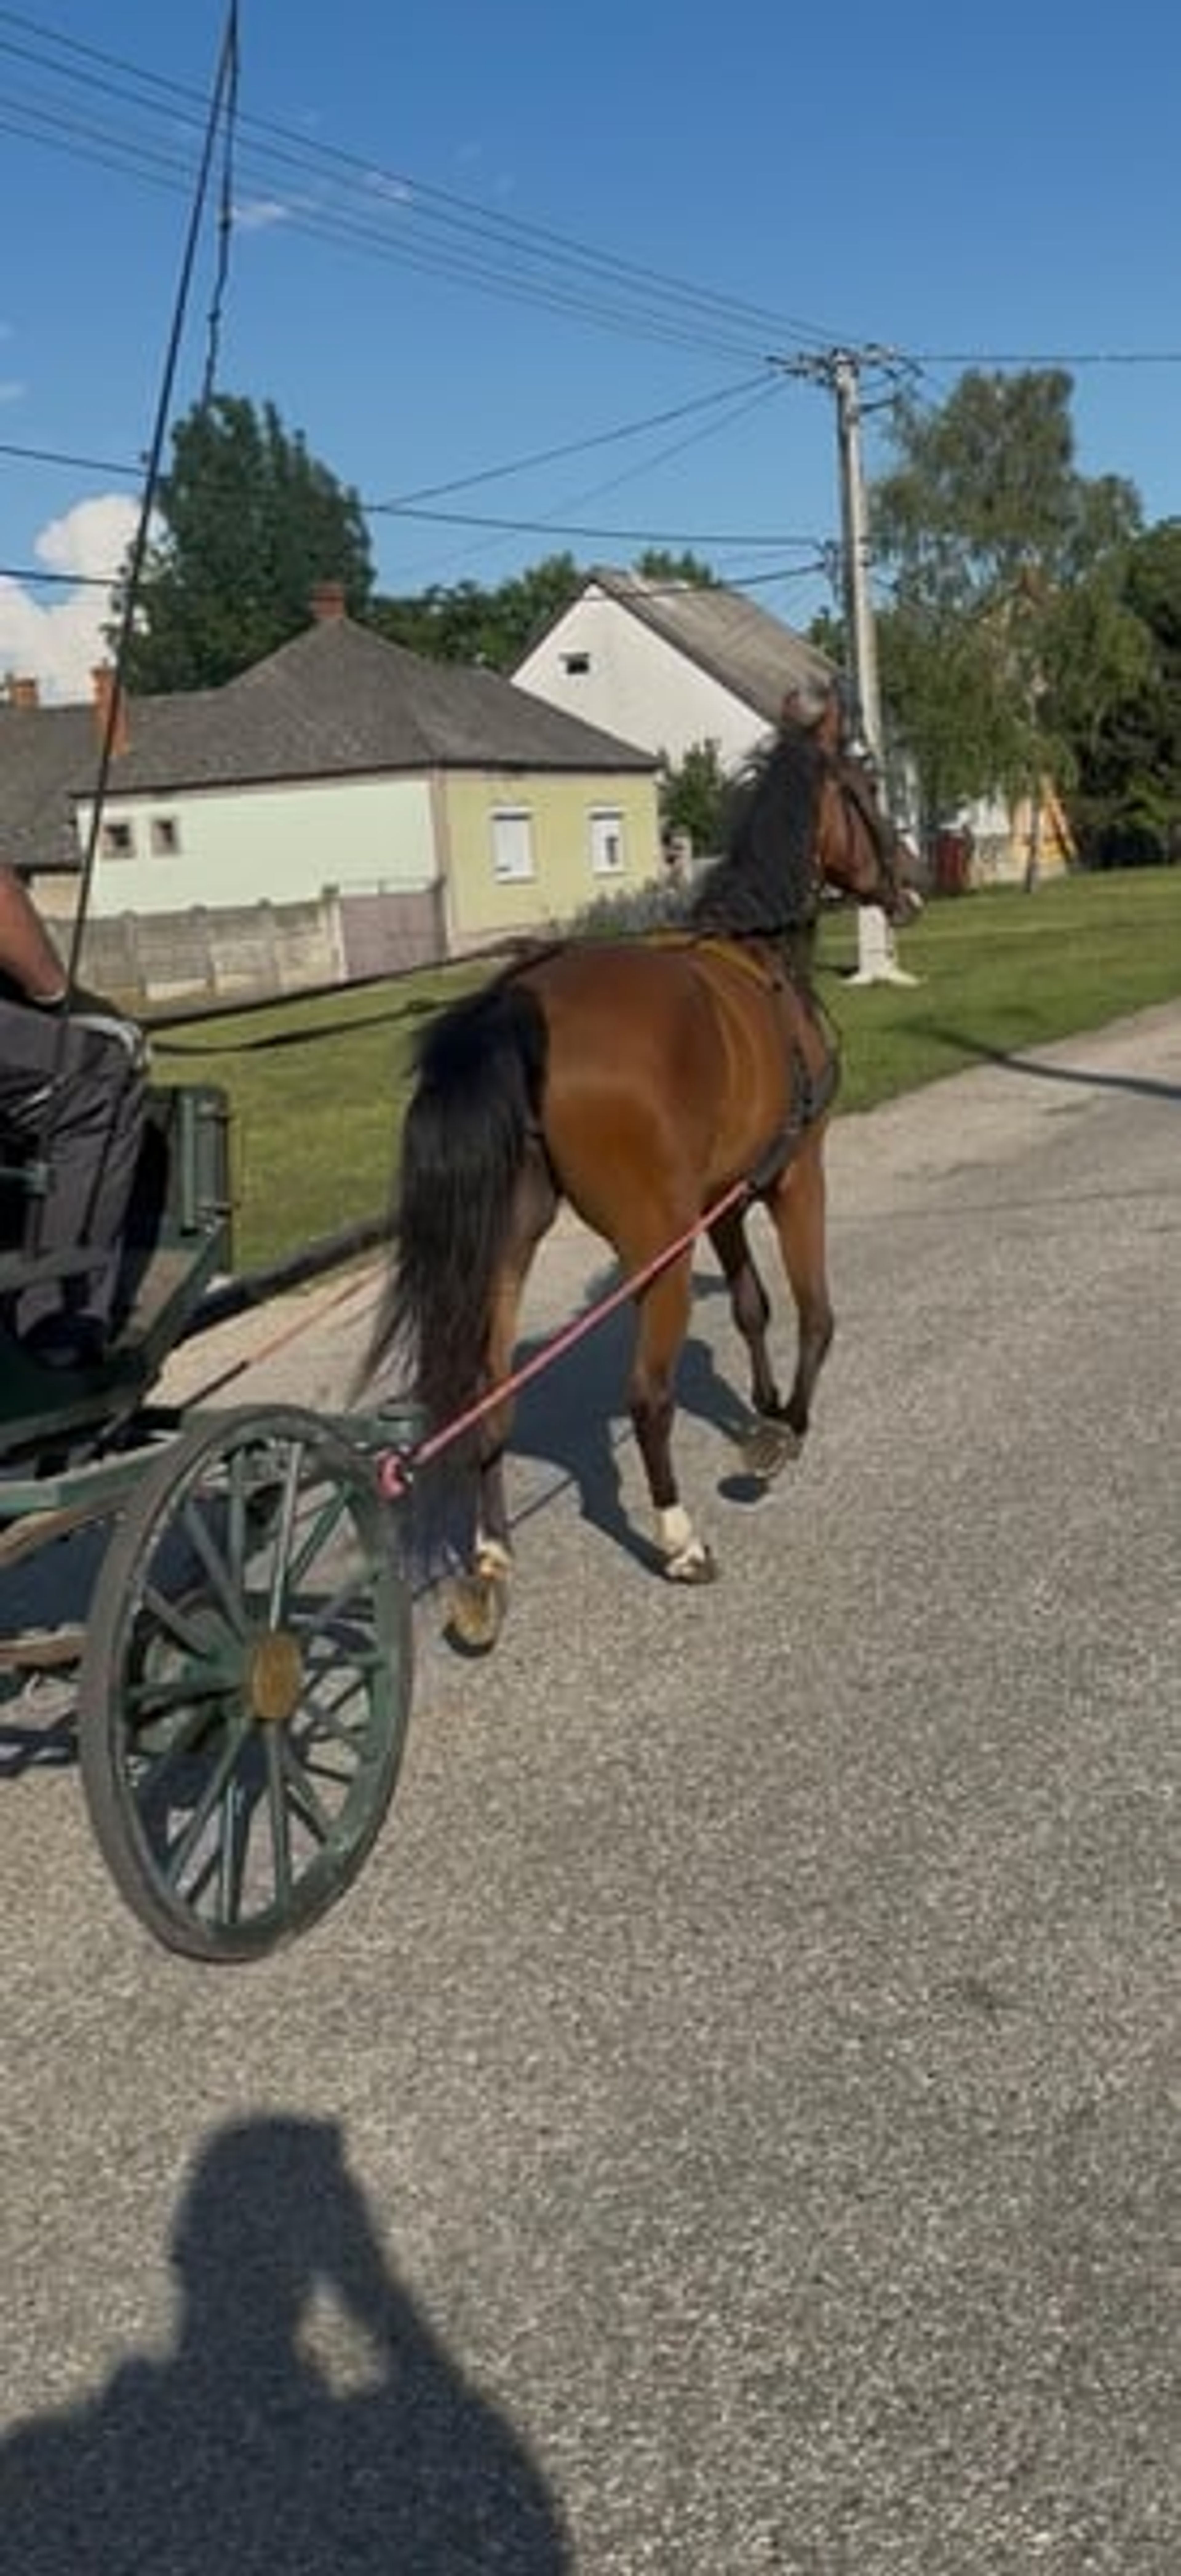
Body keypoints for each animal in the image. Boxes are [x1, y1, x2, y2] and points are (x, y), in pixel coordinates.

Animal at [373, 693, 916, 1649]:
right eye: (865, 788)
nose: (911, 883)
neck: (758, 959)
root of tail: (522, 1003)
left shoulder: (723, 1197)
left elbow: (751, 1305)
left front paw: (759, 1404)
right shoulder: (793, 1174)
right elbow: (813, 1309)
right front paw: (784, 1427)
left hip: (509, 1244)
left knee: (489, 1402)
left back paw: (490, 1564)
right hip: (653, 1240)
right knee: (646, 1394)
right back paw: (678, 1536)